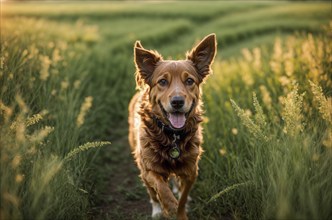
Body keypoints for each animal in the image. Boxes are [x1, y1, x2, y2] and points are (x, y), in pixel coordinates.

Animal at [128, 33, 217, 219]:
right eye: (162, 81)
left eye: (189, 80)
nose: (177, 102)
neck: (172, 135)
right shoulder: (148, 169)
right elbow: (161, 189)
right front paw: (169, 207)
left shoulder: (191, 171)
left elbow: (182, 197)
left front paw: (181, 211)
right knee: (152, 194)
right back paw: (156, 211)